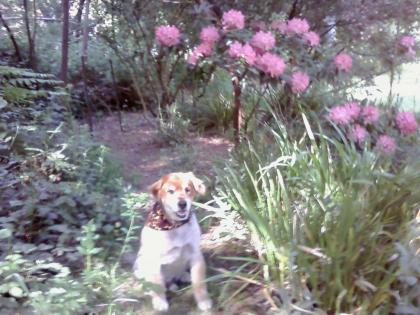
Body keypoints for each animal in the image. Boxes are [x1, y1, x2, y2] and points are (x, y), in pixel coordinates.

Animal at [135, 173, 212, 314]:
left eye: (187, 189)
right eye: (170, 191)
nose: (182, 204)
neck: (175, 226)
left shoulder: (195, 254)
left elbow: (199, 282)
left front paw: (204, 301)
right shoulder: (154, 260)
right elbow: (157, 285)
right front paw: (160, 303)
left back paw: (185, 276)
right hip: (141, 261)